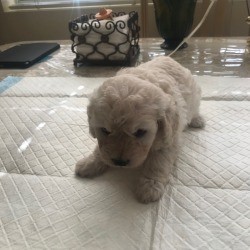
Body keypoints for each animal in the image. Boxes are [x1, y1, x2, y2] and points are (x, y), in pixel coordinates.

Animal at [75, 56, 204, 203]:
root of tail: (168, 57)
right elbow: (100, 149)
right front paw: (89, 163)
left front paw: (150, 186)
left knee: (195, 109)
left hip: (194, 95)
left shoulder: (169, 139)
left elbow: (158, 162)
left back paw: (197, 120)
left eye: (140, 132)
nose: (119, 162)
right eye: (105, 131)